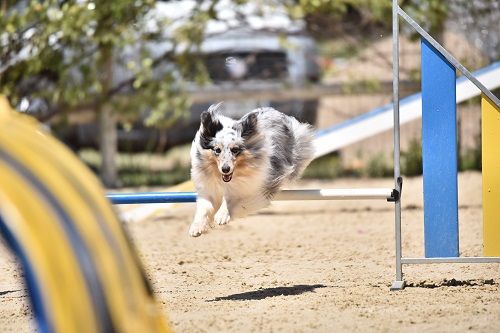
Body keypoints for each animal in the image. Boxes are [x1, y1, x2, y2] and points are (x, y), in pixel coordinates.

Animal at [188, 102, 312, 235]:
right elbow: (204, 209)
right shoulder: (209, 189)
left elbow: (233, 202)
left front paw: (221, 216)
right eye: (217, 150)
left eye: (235, 150)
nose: (225, 169)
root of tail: (273, 110)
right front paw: (197, 227)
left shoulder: (256, 191)